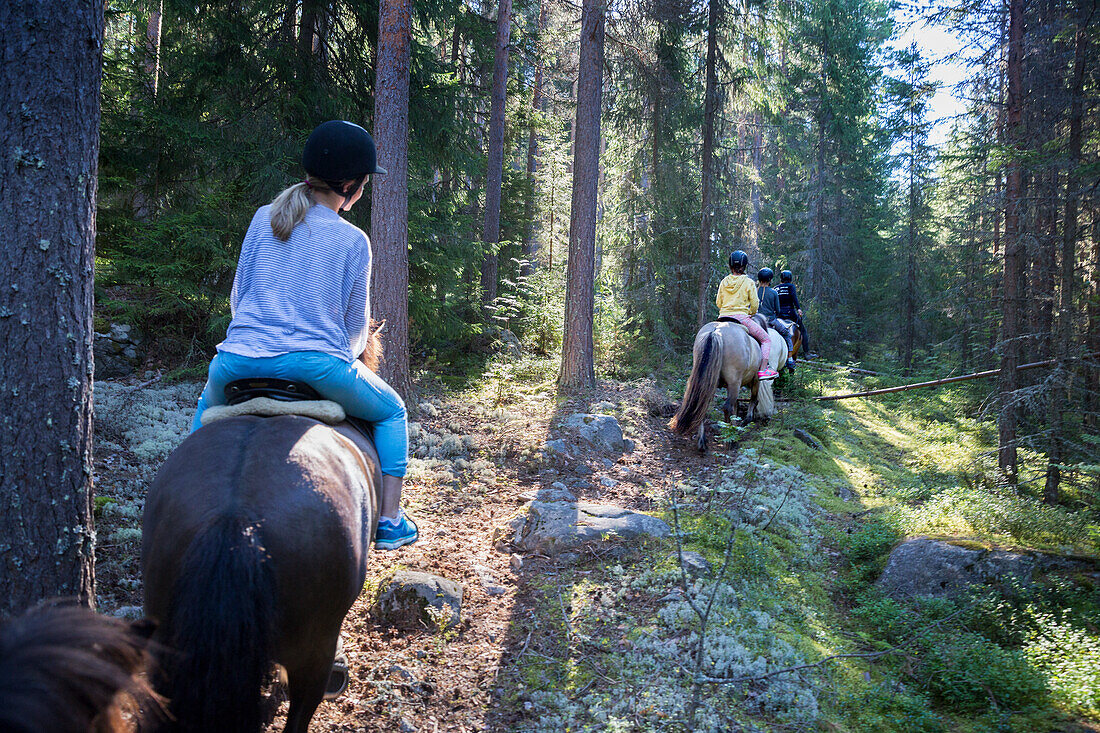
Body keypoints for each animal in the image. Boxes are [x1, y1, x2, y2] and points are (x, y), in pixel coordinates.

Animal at [664, 316, 787, 449]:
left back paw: (702, 441)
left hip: (708, 382)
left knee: (703, 404)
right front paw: (745, 421)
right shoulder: (754, 381)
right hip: (734, 383)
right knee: (727, 407)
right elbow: (753, 400)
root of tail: (716, 331)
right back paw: (730, 440)